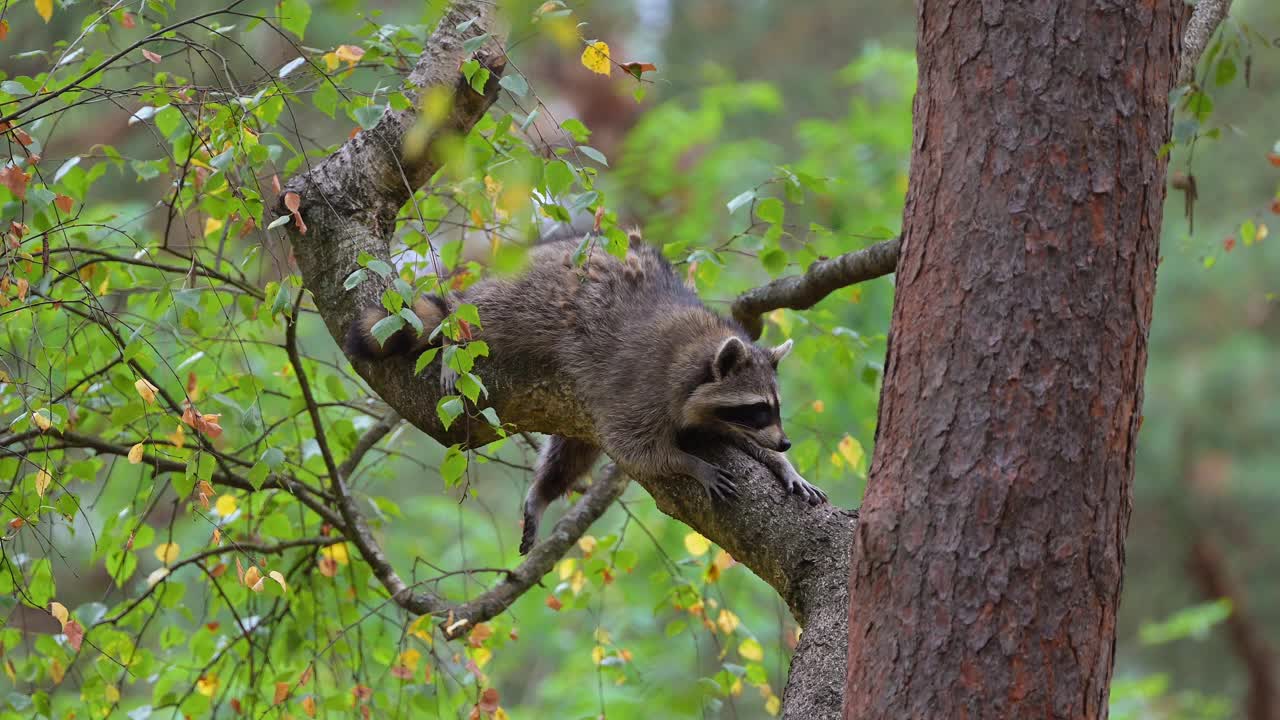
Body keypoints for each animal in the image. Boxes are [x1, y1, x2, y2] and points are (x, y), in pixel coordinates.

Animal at [348, 233, 829, 550]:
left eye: (774, 408)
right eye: (757, 409)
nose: (786, 442)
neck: (699, 347)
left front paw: (782, 464)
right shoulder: (640, 387)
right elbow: (637, 449)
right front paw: (690, 463)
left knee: (572, 451)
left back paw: (544, 491)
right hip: (530, 300)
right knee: (483, 310)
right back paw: (454, 338)